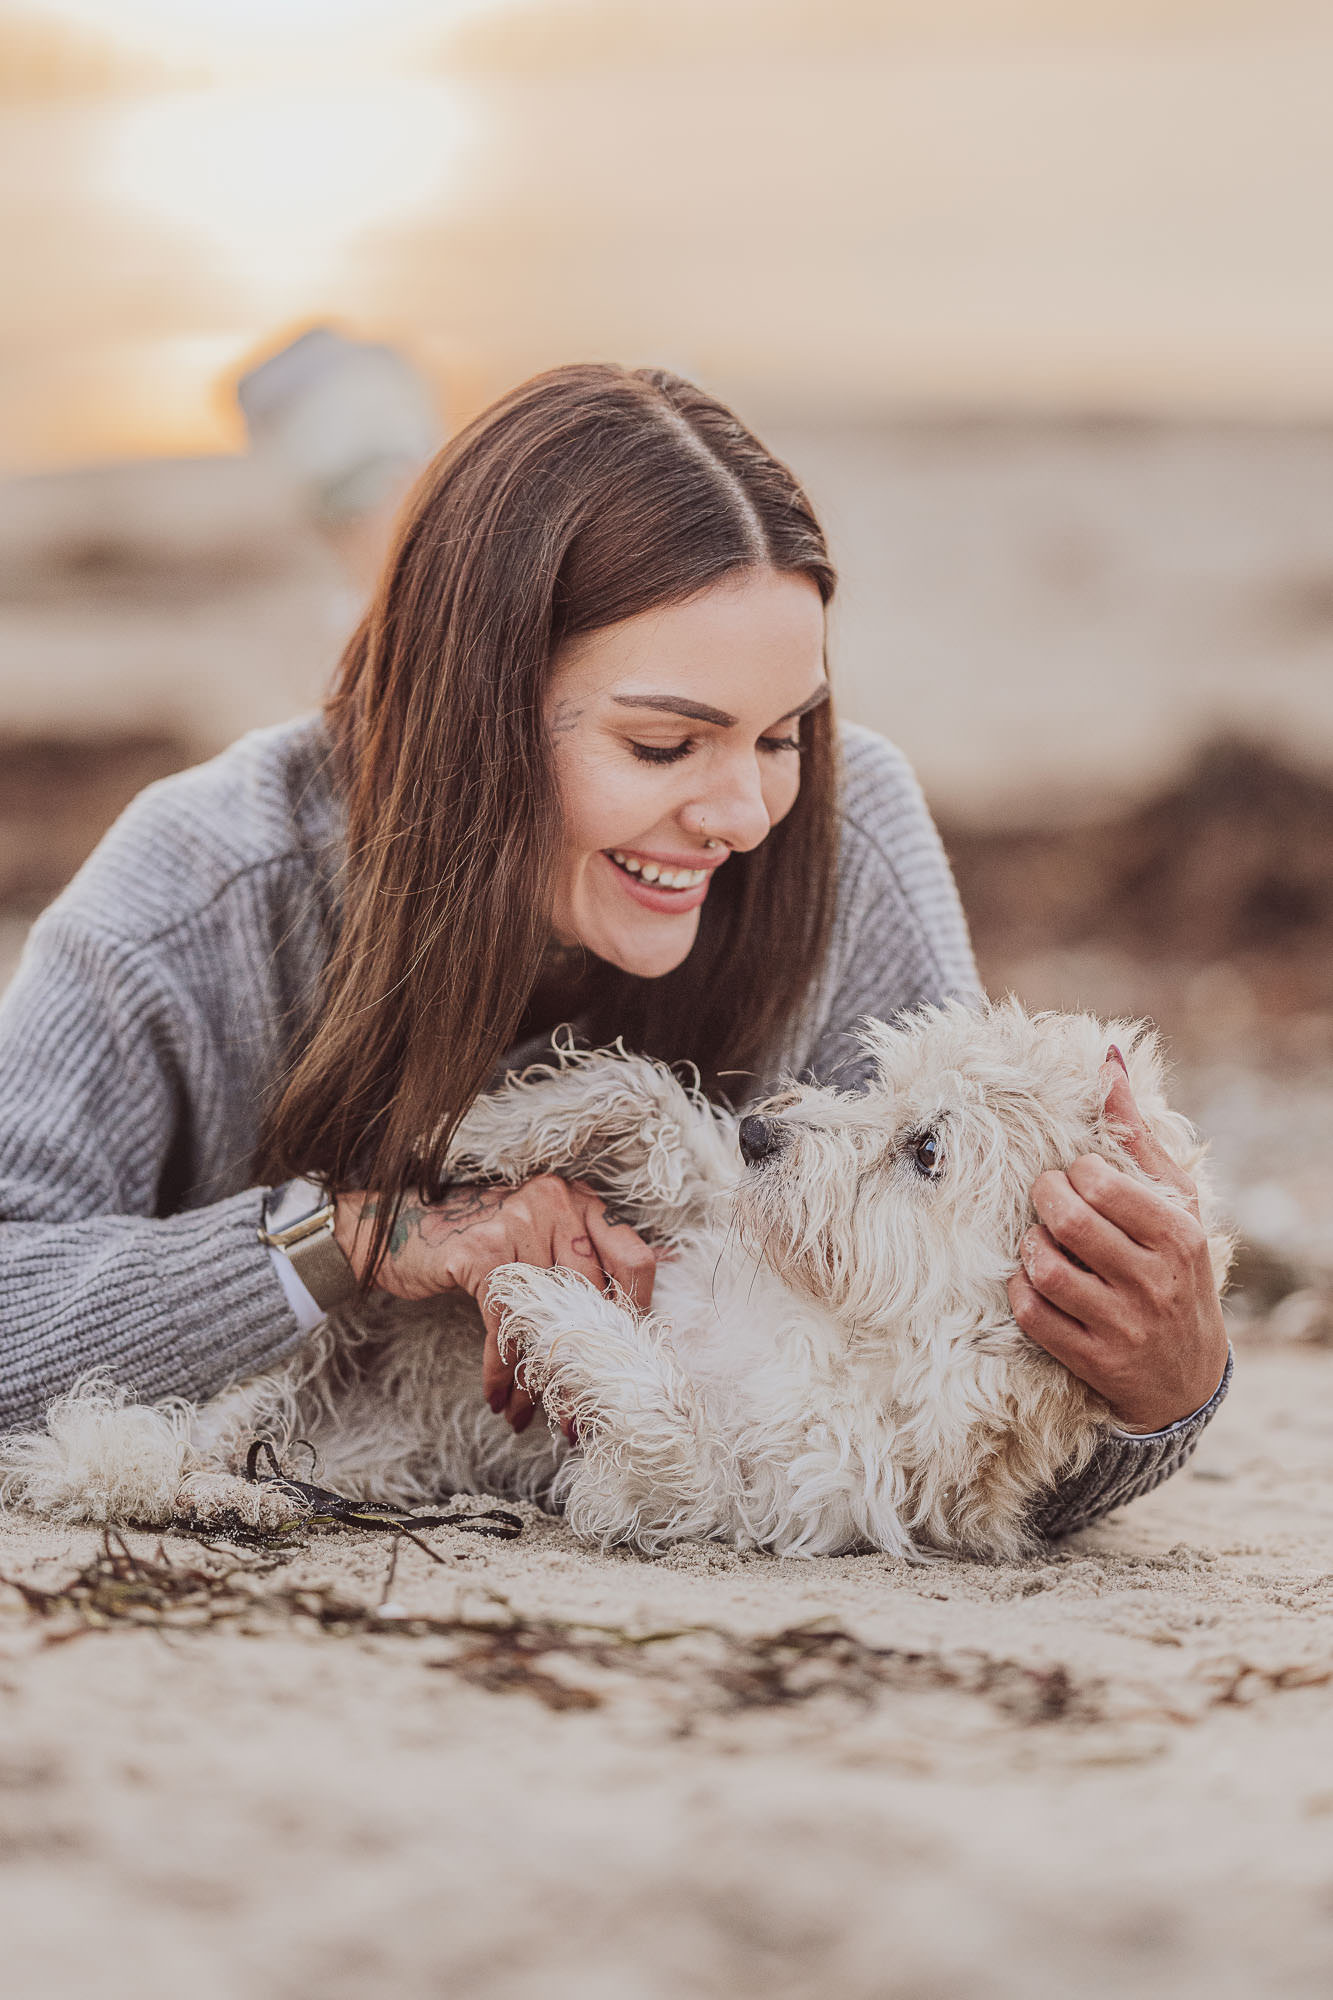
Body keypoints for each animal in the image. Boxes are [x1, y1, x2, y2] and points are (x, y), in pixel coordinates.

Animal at [0, 1000, 1224, 1560]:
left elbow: (662, 1407)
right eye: (880, 1087)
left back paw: (228, 1494)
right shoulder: (693, 1228)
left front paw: (548, 1300)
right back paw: (219, 1488)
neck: (836, 1318)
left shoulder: (715, 1490)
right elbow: (641, 1101)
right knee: (133, 1444)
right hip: (309, 1346)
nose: (764, 1132)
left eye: (926, 1149)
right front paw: (475, 1135)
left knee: (106, 1459)